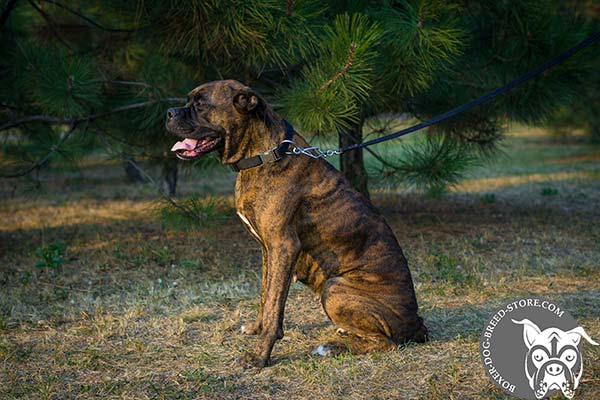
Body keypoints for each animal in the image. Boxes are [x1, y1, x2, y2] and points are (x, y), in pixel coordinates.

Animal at [164, 79, 426, 368]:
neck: (264, 155)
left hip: (334, 287)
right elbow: (266, 296)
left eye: (200, 104)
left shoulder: (284, 247)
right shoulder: (268, 250)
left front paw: (259, 356)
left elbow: (274, 304)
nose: (169, 113)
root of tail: (417, 323)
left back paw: (332, 348)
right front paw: (257, 328)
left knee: (386, 343)